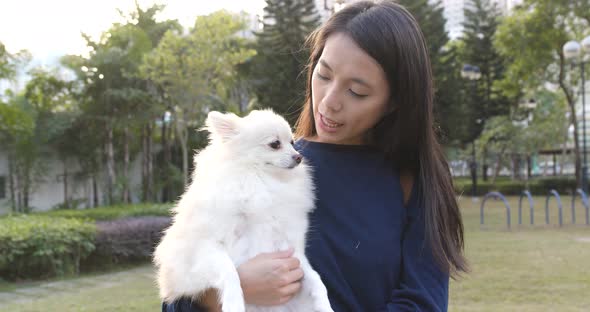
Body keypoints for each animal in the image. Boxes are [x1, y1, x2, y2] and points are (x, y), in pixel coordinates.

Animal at [155, 109, 336, 312]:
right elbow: (229, 271)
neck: (260, 181)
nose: (299, 157)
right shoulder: (203, 248)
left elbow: (316, 279)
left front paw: (325, 305)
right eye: (275, 144)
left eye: (292, 143)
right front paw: (233, 303)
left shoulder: (293, 254)